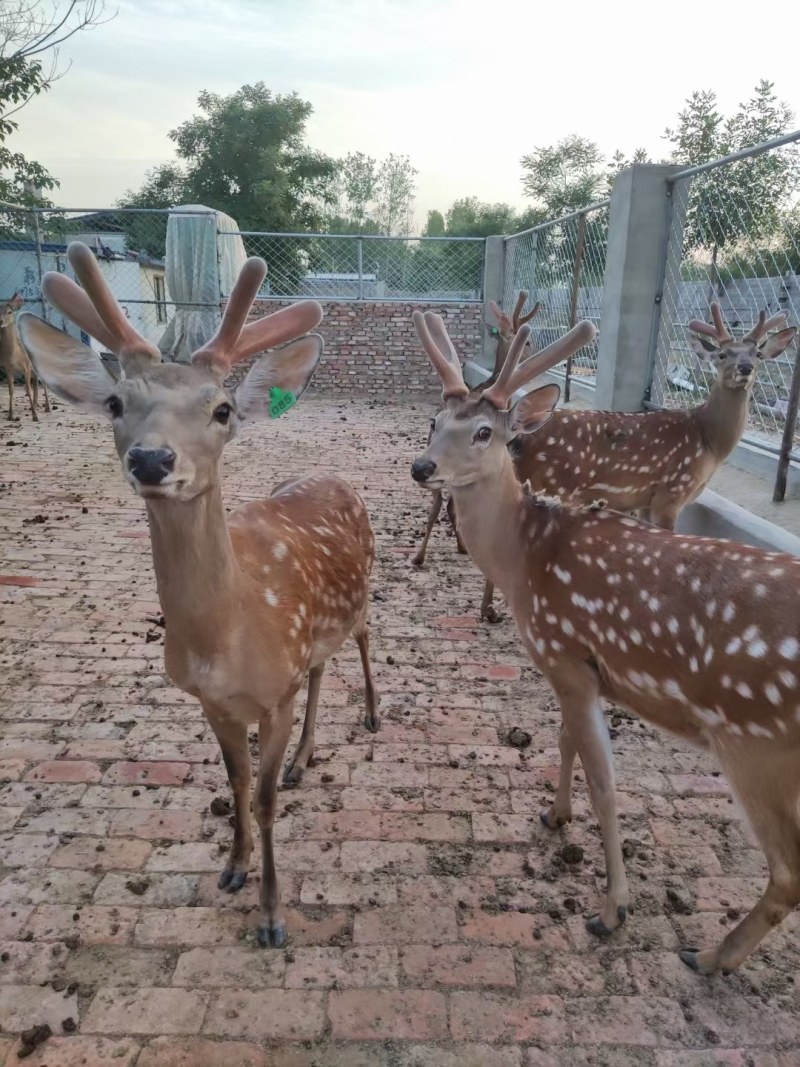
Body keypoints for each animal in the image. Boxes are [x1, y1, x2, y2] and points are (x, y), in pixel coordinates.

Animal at [1, 293, 50, 421]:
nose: (0, 321)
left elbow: (28, 389)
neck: (14, 356)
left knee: (42, 383)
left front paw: (35, 416)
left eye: (9, 311)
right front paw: (10, 415)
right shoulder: (8, 368)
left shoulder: (26, 366)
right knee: (36, 383)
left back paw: (47, 407)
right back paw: (37, 405)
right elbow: (11, 390)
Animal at [18, 241, 380, 949]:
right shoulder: (212, 702)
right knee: (320, 667)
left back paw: (375, 714)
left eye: (222, 410)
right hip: (313, 635)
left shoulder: (272, 696)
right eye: (115, 404)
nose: (152, 461)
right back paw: (305, 759)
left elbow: (263, 799)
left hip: (364, 589)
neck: (226, 639)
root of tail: (333, 476)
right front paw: (232, 869)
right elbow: (234, 782)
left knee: (363, 636)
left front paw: (272, 917)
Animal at [413, 291, 541, 622]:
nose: (532, 349)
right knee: (442, 507)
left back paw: (428, 553)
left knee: (440, 506)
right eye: (527, 342)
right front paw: (489, 605)